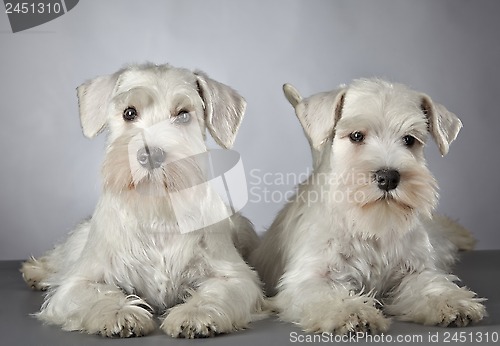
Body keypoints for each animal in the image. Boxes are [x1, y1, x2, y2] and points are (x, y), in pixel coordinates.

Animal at [20, 63, 266, 340]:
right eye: (129, 112)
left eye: (183, 115)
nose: (151, 154)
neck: (157, 213)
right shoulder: (79, 282)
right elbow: (97, 293)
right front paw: (119, 314)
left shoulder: (235, 278)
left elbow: (216, 293)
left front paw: (195, 313)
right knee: (60, 257)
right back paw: (36, 271)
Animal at [252, 79, 486, 336]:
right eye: (356, 135)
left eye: (409, 139)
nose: (388, 177)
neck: (371, 224)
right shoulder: (311, 277)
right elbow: (328, 294)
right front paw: (352, 312)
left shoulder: (414, 270)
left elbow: (431, 285)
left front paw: (453, 302)